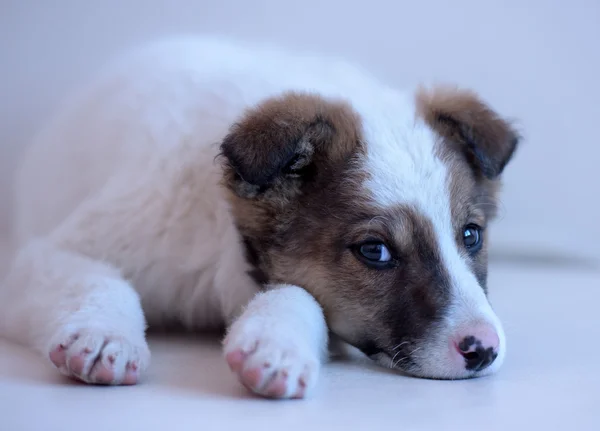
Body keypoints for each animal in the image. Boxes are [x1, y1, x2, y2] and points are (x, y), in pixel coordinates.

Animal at [0, 35, 516, 400]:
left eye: (471, 235)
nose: (484, 349)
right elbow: (99, 282)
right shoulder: (46, 256)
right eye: (375, 251)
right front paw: (104, 337)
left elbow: (297, 295)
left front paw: (274, 346)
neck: (221, 241)